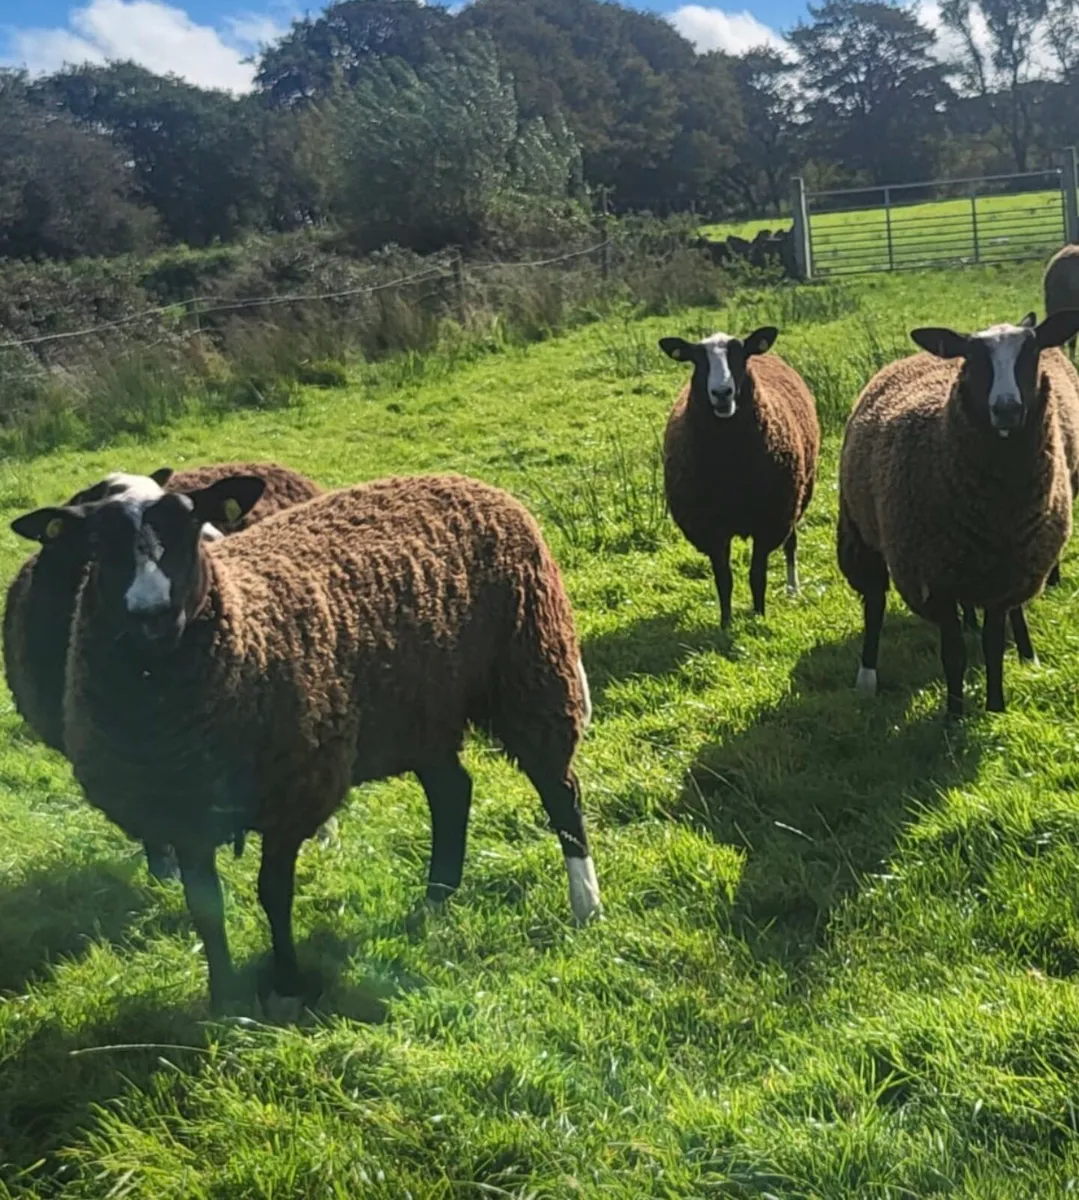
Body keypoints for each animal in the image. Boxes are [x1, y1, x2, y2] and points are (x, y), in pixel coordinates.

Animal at [659, 325, 820, 628]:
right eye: (697, 360)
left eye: (739, 354)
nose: (722, 392)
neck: (730, 462)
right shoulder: (710, 529)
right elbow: (724, 580)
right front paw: (726, 623)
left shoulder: (769, 520)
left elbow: (758, 575)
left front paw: (758, 616)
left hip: (797, 495)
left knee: (791, 542)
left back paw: (793, 589)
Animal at [837, 309, 1079, 717]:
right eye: (974, 358)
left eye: (1031, 352)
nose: (1006, 409)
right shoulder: (935, 580)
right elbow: (953, 654)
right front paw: (953, 715)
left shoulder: (1005, 573)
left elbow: (993, 646)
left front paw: (996, 707)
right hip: (862, 534)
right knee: (875, 603)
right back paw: (867, 677)